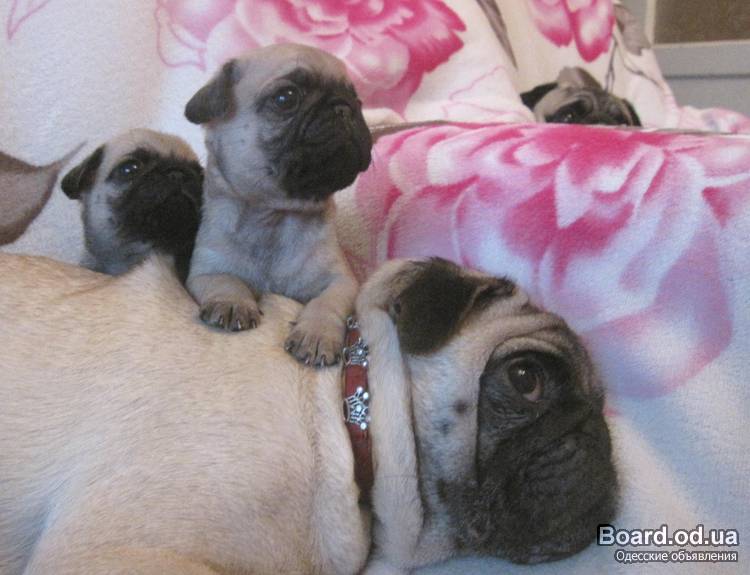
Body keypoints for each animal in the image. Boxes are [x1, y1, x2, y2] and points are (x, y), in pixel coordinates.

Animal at [184, 43, 372, 367]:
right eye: (286, 98)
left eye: (358, 100)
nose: (344, 107)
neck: (274, 214)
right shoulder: (205, 271)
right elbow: (226, 282)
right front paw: (233, 302)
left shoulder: (342, 281)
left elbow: (327, 302)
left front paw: (317, 333)